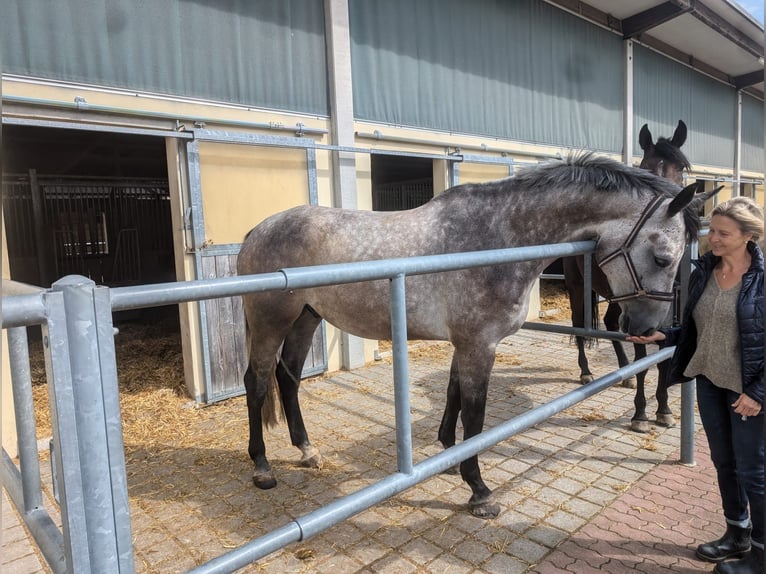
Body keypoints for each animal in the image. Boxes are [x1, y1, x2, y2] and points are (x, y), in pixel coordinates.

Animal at [238, 152, 708, 516]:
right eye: (663, 257)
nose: (649, 331)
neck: (497, 235)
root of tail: (258, 230)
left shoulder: (465, 344)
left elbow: (454, 396)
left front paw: (448, 454)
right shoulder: (480, 345)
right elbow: (476, 415)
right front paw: (479, 491)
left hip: (306, 318)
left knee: (288, 378)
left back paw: (306, 450)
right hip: (270, 322)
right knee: (257, 382)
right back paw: (262, 468)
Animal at [560, 119, 692, 432]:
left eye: (680, 168)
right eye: (645, 166)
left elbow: (664, 363)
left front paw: (664, 409)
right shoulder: (643, 318)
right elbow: (645, 363)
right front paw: (641, 414)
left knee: (610, 322)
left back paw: (624, 371)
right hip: (578, 287)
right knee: (579, 326)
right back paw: (586, 371)